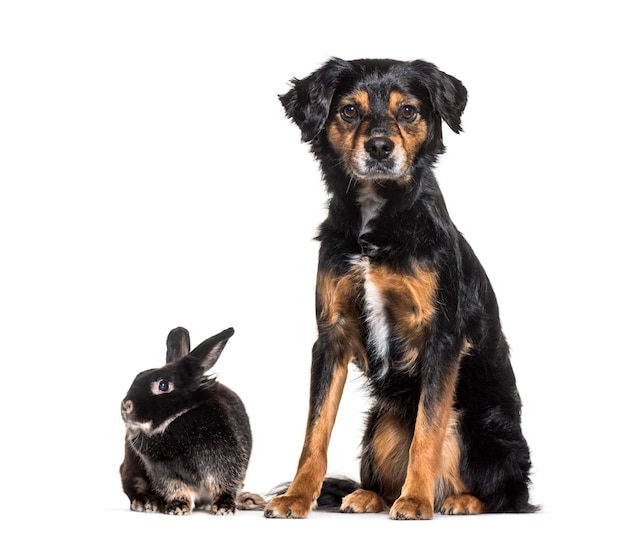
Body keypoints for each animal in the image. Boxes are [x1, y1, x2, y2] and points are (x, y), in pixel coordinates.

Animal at [119, 326, 264, 516]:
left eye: (163, 385)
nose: (125, 406)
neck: (176, 419)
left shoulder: (226, 463)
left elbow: (225, 485)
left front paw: (223, 508)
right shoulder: (165, 474)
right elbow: (176, 489)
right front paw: (178, 507)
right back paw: (147, 502)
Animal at [264, 58, 536, 520]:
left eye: (408, 111)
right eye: (349, 111)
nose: (379, 147)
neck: (379, 221)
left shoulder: (441, 337)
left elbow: (427, 432)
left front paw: (416, 501)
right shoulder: (332, 335)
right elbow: (314, 434)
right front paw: (297, 497)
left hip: (479, 425)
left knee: (507, 494)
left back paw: (458, 500)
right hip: (381, 424)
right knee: (384, 474)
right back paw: (369, 495)